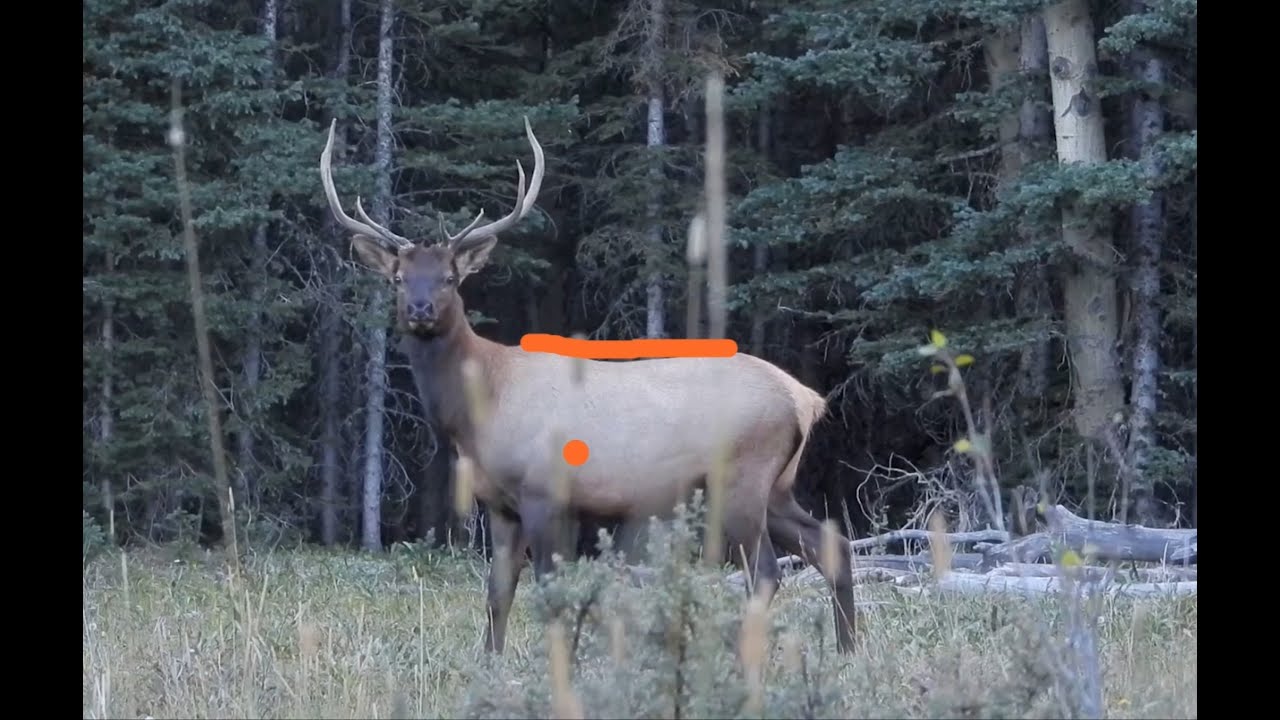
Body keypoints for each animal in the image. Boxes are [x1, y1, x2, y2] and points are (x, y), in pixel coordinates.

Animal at [318, 116, 859, 656]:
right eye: (398, 278)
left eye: (450, 278)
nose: (421, 309)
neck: (480, 409)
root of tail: (806, 399)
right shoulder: (499, 503)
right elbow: (497, 593)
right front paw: (491, 661)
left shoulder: (544, 490)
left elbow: (548, 587)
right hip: (778, 485)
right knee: (831, 544)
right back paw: (847, 649)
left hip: (743, 473)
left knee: (766, 570)